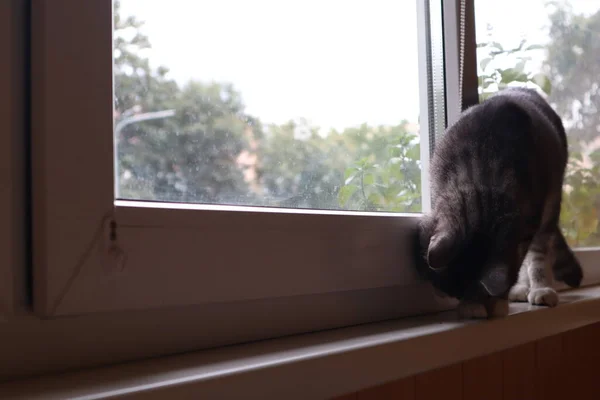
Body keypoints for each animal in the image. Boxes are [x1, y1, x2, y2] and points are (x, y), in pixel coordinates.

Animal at [418, 87, 580, 318]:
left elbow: (525, 260)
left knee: (537, 251)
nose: (444, 295)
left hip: (551, 199)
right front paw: (474, 305)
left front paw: (494, 301)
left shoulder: (528, 222)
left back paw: (538, 288)